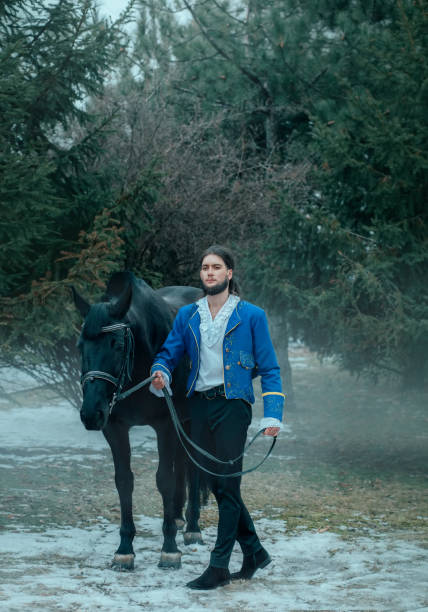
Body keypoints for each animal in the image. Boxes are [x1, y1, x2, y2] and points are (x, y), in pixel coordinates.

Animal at [72, 270, 206, 572]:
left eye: (117, 344)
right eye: (80, 346)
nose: (90, 413)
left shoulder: (165, 424)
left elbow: (163, 479)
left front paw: (169, 550)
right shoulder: (114, 427)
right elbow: (124, 480)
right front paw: (124, 549)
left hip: (191, 420)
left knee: (192, 467)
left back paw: (191, 526)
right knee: (182, 463)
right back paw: (177, 516)